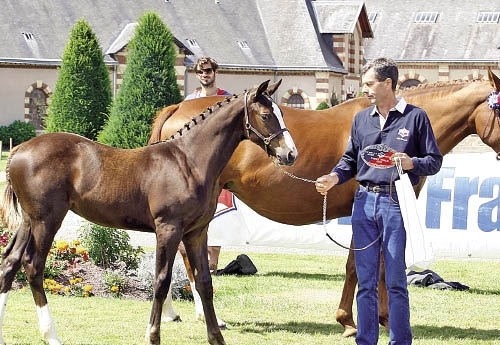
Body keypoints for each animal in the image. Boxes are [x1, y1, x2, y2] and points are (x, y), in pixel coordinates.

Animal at [0, 79, 296, 342]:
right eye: (266, 115)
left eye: (282, 113)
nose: (290, 154)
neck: (188, 162)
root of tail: (17, 150)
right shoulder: (168, 229)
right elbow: (162, 281)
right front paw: (152, 335)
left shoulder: (197, 233)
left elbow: (204, 283)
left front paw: (216, 337)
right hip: (47, 220)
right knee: (33, 266)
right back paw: (51, 335)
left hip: (29, 221)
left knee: (10, 262)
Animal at [150, 68, 500, 334]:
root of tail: (176, 109)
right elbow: (361, 266)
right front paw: (353, 321)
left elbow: (375, 265)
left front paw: (377, 318)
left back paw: (175, 312)